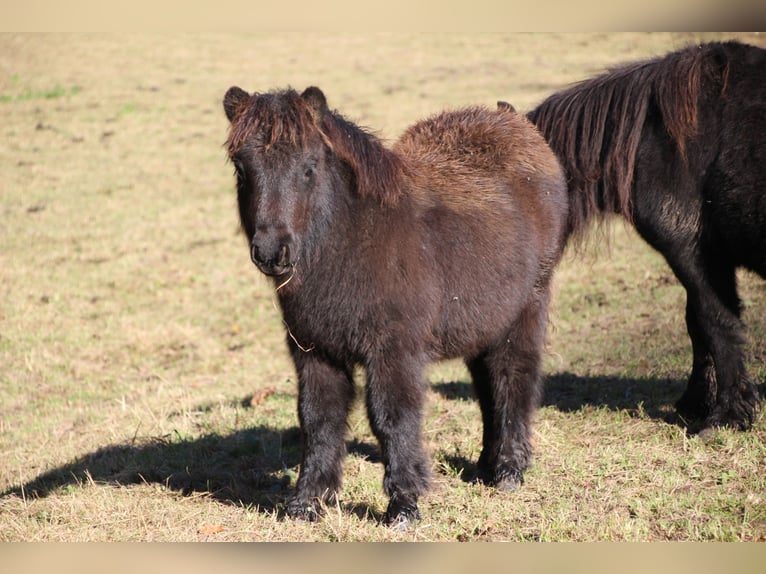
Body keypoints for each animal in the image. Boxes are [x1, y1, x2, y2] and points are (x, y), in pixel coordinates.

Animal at [224, 85, 568, 528]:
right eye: (241, 168)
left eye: (309, 168)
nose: (271, 252)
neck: (355, 241)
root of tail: (510, 119)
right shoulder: (315, 351)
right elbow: (318, 418)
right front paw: (307, 502)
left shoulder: (394, 351)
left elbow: (392, 418)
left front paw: (404, 504)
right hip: (483, 322)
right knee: (487, 384)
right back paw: (486, 466)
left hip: (527, 307)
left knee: (515, 378)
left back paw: (510, 469)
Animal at [528, 40, 766, 432]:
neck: (653, 137)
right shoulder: (706, 258)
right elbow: (698, 323)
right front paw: (696, 403)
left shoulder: (693, 251)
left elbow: (717, 322)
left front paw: (728, 415)